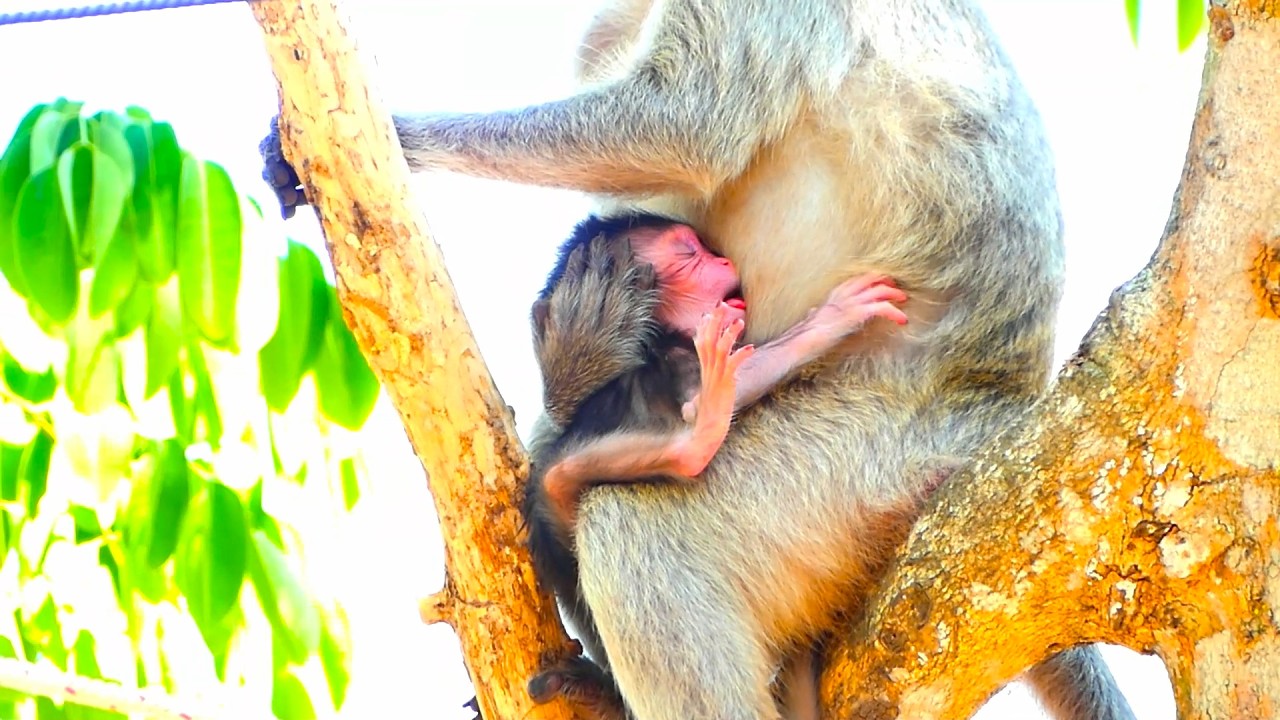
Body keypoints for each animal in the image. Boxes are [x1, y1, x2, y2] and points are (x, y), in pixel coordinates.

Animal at [262, 2, 1136, 718]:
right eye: (692, 259)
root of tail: (1006, 412)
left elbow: (678, 128)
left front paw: (398, 138)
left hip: (873, 464)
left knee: (632, 527)